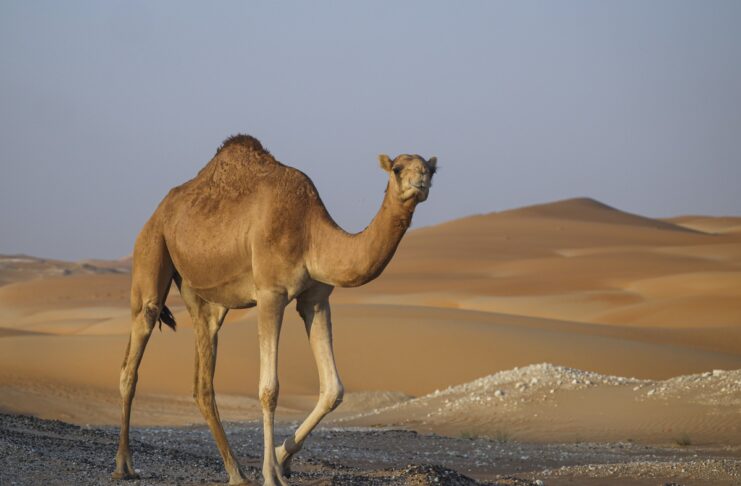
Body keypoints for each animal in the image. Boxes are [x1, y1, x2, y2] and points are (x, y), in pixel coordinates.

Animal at [111, 135, 436, 485]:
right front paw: (271, 473)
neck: (311, 232)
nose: (420, 181)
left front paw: (282, 458)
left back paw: (237, 472)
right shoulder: (271, 293)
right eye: (398, 167)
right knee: (133, 358)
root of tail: (159, 212)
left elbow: (333, 389)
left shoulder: (315, 299)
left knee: (202, 382)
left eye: (431, 168)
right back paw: (123, 465)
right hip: (151, 249)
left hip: (205, 298)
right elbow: (269, 389)